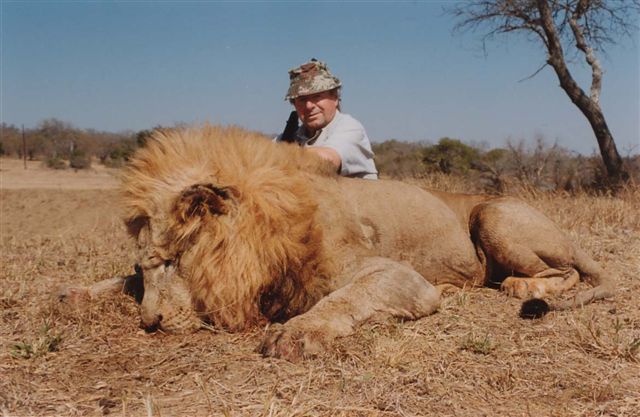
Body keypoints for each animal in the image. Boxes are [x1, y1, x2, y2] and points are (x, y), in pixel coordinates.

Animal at [60, 125, 616, 360]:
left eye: (174, 261)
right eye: (149, 265)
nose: (150, 324)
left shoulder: (397, 275)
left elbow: (346, 297)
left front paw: (296, 333)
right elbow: (118, 280)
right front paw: (76, 293)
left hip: (494, 213)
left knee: (563, 272)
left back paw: (523, 288)